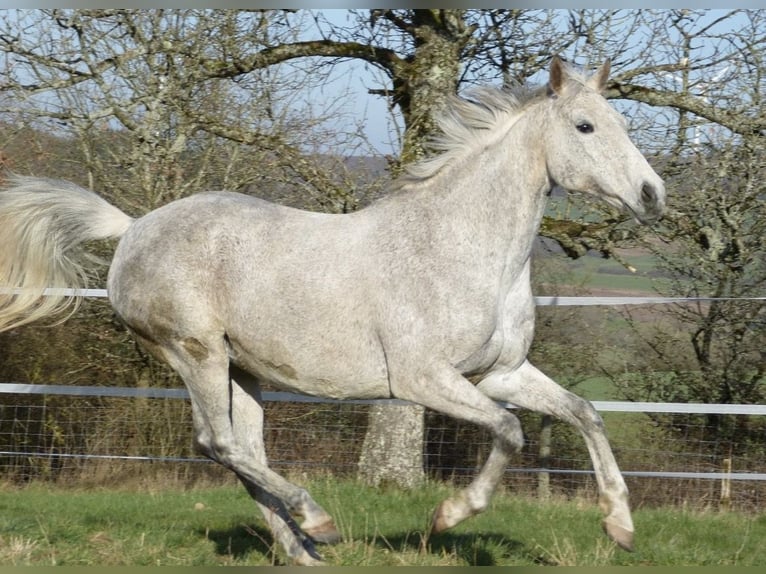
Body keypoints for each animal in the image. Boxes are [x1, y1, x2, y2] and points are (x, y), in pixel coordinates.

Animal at [0, 57, 664, 565]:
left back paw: (304, 550)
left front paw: (621, 527)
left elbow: (586, 414)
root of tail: (134, 227)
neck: (460, 248)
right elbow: (510, 431)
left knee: (246, 454)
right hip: (195, 352)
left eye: (621, 122)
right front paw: (449, 516)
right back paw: (316, 520)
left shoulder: (497, 374)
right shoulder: (424, 380)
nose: (652, 196)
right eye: (585, 126)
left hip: (245, 371)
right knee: (216, 442)